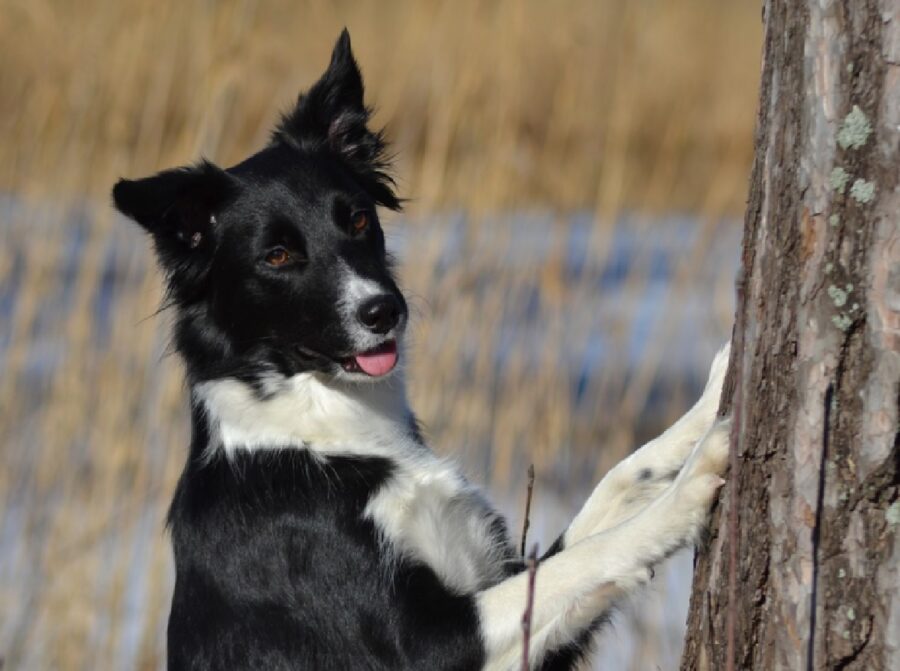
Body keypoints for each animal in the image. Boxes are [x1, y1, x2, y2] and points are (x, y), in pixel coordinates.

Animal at [112, 28, 732, 668]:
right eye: (277, 256)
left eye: (359, 220)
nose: (384, 310)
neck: (324, 428)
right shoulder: (427, 648)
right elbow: (589, 556)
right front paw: (689, 489)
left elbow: (615, 484)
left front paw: (710, 399)